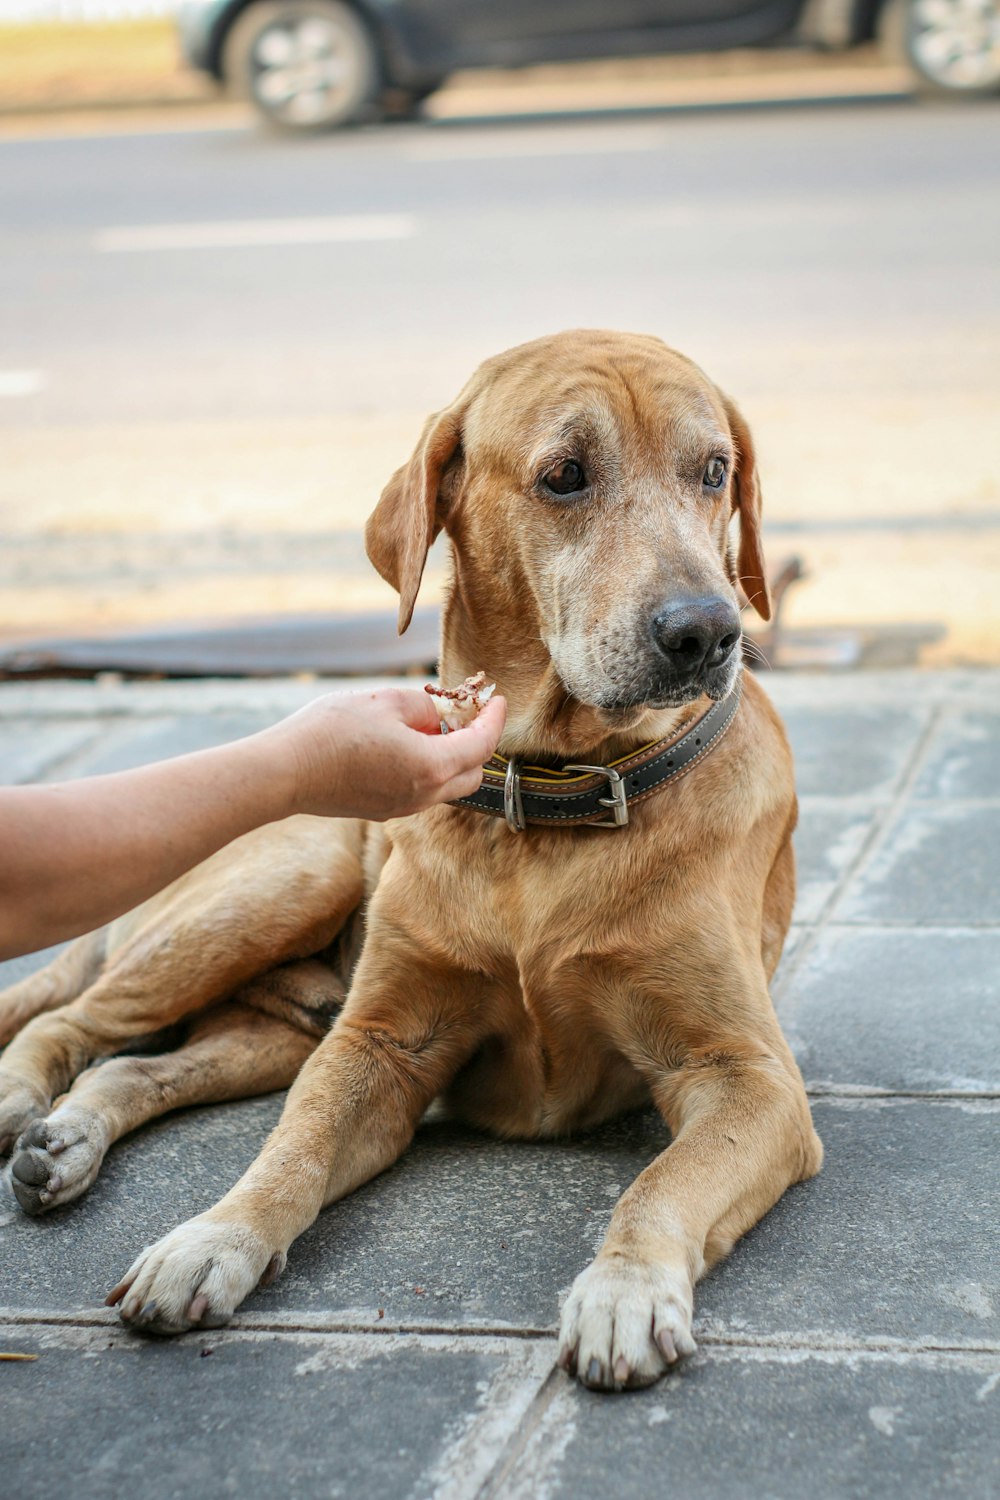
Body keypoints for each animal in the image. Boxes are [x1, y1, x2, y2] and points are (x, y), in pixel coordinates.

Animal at [0, 331, 821, 1392]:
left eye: (714, 471)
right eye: (564, 475)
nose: (707, 630)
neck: (550, 801)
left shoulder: (746, 1074)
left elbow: (662, 1182)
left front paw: (624, 1288)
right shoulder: (378, 1043)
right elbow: (290, 1156)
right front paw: (213, 1237)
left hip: (275, 1031)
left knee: (134, 1069)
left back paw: (63, 1138)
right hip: (283, 886)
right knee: (65, 1019)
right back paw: (24, 1099)